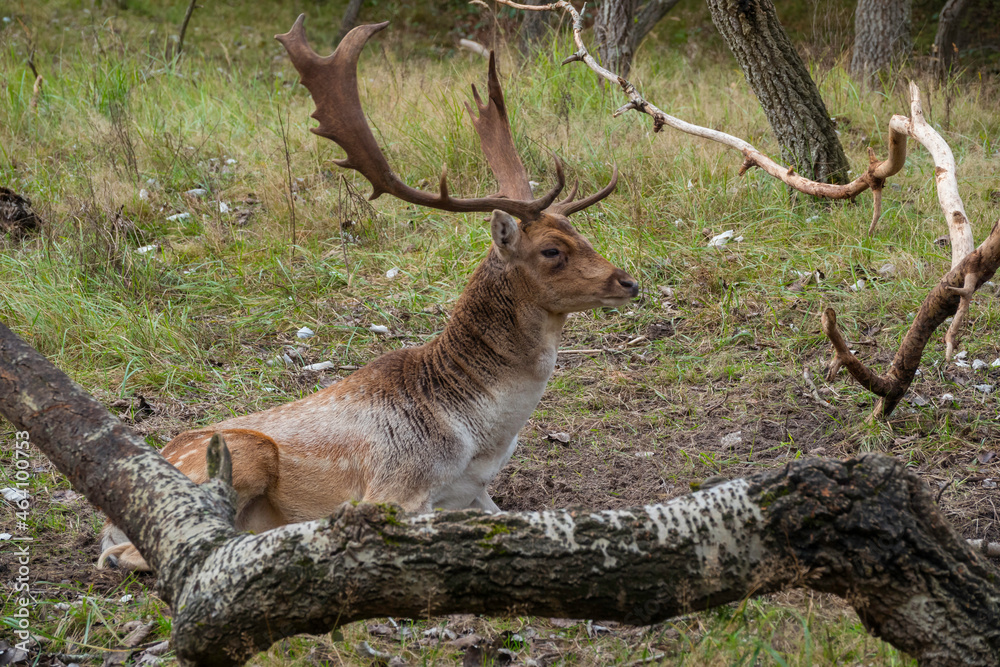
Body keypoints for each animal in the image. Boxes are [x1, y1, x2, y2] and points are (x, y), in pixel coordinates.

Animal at [98, 16, 638, 571]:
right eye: (552, 250)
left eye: (582, 233)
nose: (627, 281)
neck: (480, 437)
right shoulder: (395, 484)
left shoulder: (477, 491)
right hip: (241, 456)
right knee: (121, 554)